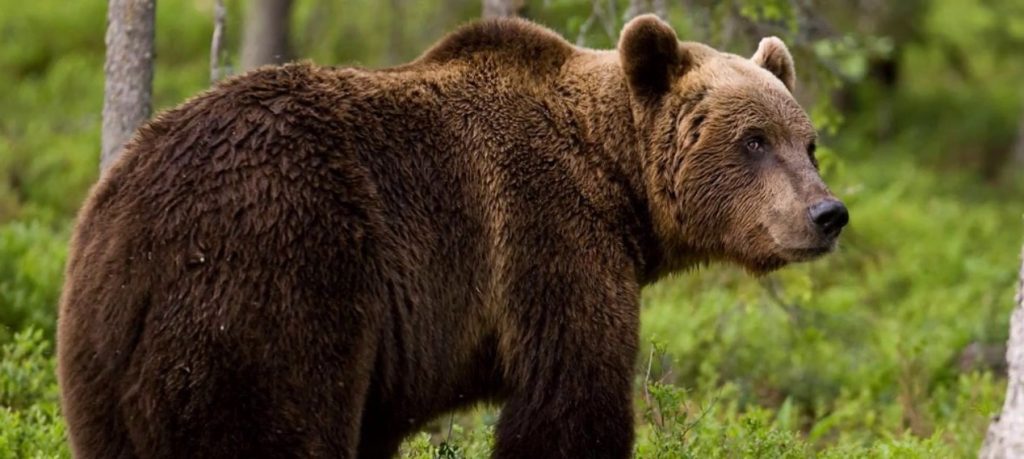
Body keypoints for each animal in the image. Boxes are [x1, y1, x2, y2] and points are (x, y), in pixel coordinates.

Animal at [56, 14, 847, 459]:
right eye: (753, 140)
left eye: (807, 143)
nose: (828, 213)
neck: (617, 180)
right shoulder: (548, 238)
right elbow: (569, 402)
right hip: (272, 288)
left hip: (101, 362)